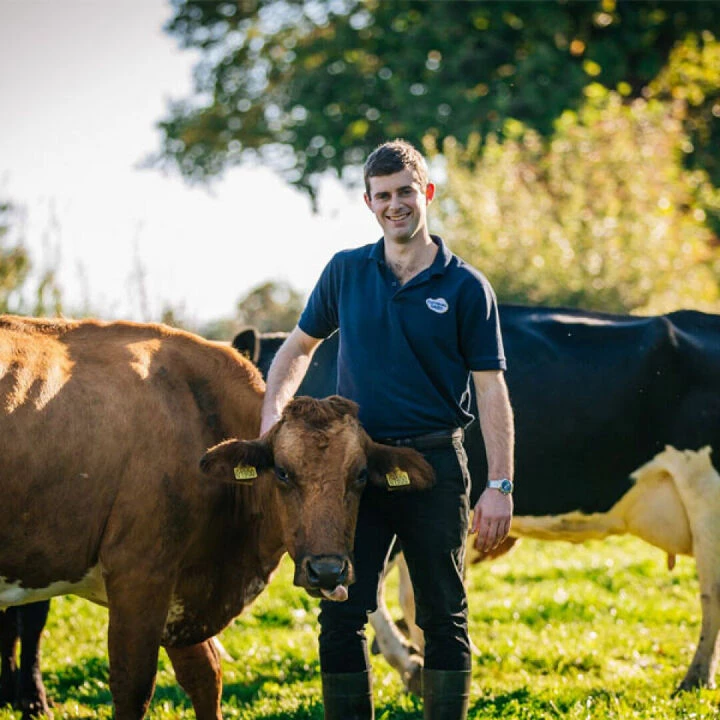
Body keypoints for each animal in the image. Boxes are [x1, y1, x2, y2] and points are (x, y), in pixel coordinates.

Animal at [0, 318, 434, 720]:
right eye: (282, 472)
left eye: (360, 476)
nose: (327, 571)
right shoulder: (139, 577)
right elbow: (132, 687)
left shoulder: (184, 591)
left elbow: (206, 677)